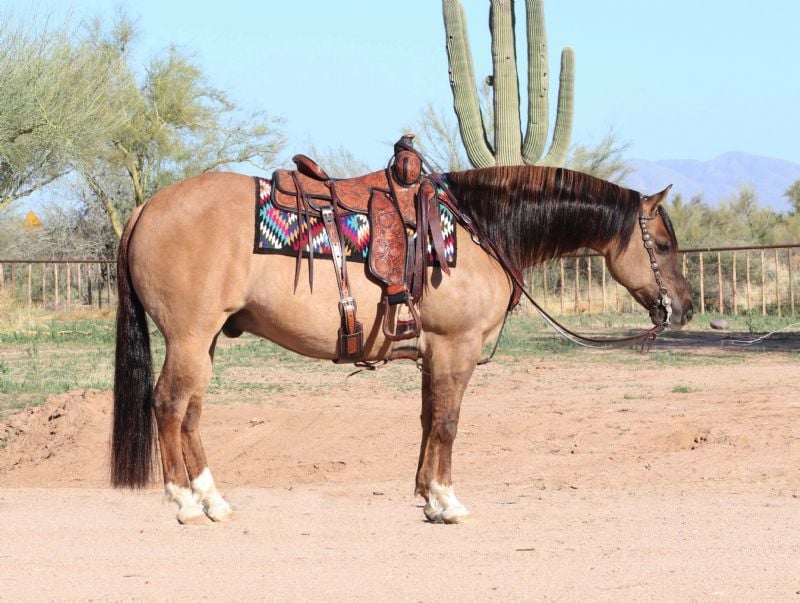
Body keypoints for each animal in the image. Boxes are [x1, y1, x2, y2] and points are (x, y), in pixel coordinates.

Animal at [111, 164, 693, 525]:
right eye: (664, 245)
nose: (684, 307)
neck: (479, 231)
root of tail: (145, 208)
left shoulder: (433, 355)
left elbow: (428, 420)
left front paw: (427, 498)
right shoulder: (456, 349)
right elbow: (449, 423)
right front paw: (448, 501)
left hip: (204, 342)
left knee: (190, 414)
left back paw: (214, 501)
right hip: (189, 338)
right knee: (168, 405)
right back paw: (185, 503)